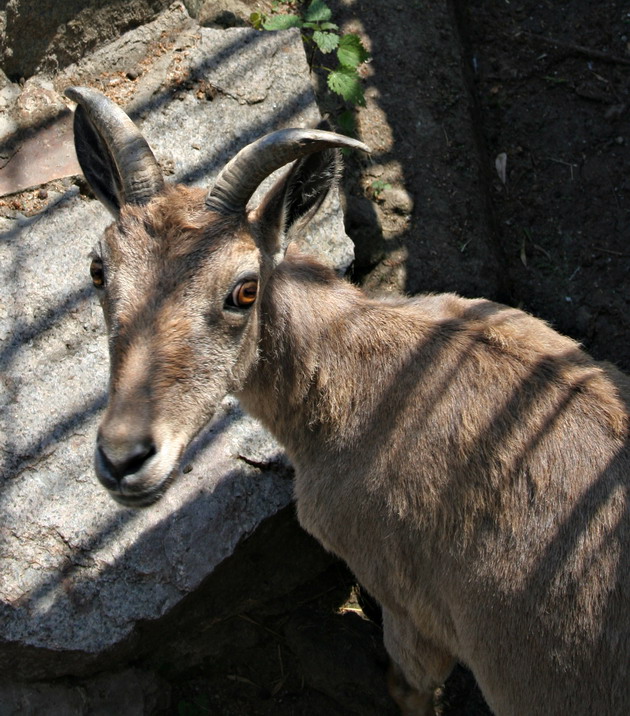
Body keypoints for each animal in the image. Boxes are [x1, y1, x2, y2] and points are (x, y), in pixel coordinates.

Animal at [66, 86, 628, 712]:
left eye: (245, 289)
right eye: (98, 270)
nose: (124, 459)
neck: (365, 380)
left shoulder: (411, 608)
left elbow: (407, 686)